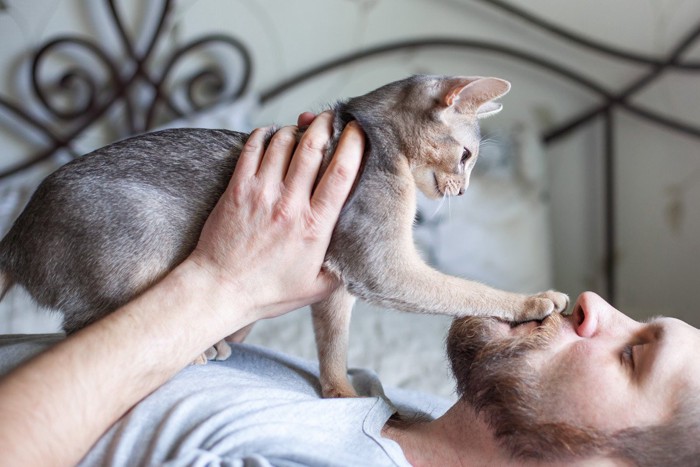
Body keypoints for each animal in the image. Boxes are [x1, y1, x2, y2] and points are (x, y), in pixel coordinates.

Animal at [0, 76, 568, 398]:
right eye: (467, 156)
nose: (464, 189)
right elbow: (468, 290)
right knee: (82, 325)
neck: (375, 140)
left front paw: (341, 392)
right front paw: (531, 301)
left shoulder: (336, 289)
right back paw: (195, 351)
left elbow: (333, 346)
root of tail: (17, 235)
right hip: (140, 237)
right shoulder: (380, 265)